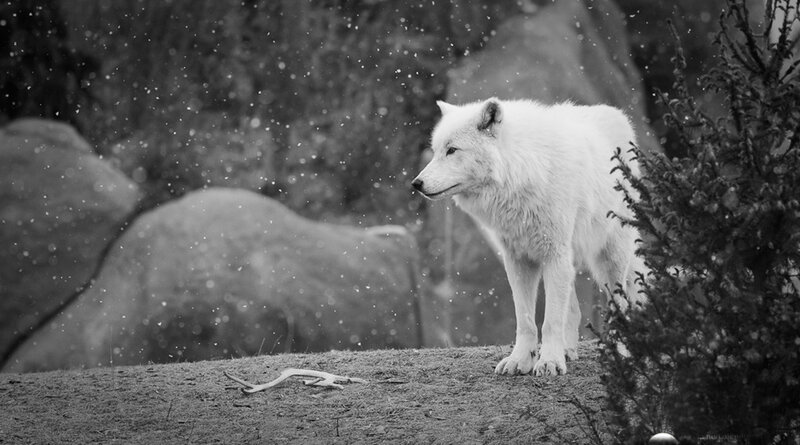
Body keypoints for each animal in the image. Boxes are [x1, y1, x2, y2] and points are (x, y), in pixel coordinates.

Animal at [412, 98, 645, 376]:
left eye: (452, 150)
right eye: (436, 151)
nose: (416, 183)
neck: (522, 172)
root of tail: (617, 114)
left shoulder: (554, 255)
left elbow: (550, 321)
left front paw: (549, 362)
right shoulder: (518, 261)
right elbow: (525, 321)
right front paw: (521, 360)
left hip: (611, 257)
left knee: (619, 305)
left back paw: (618, 353)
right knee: (573, 310)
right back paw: (568, 350)